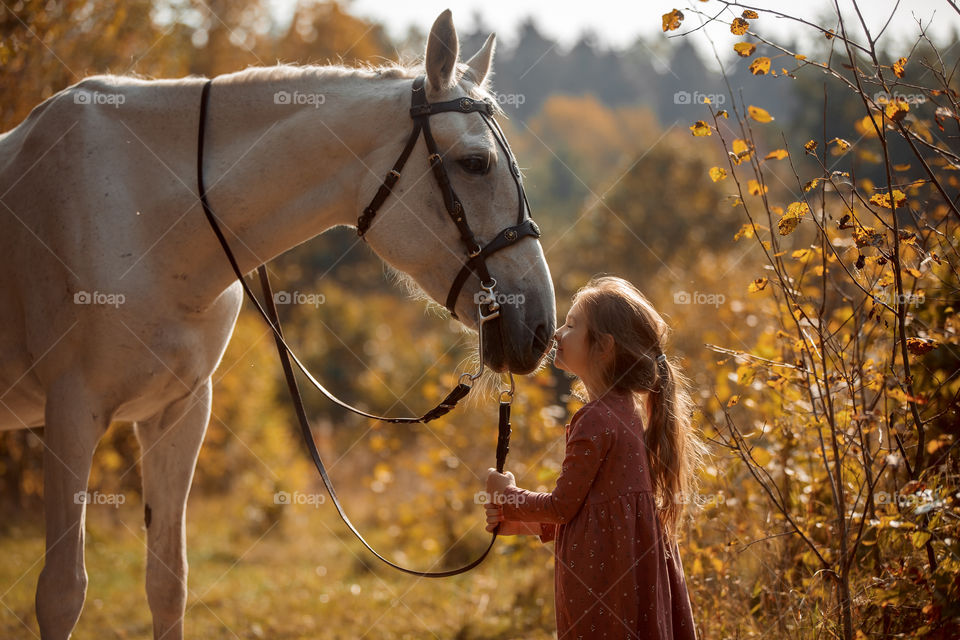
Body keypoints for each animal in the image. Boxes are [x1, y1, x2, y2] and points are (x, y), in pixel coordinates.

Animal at [0, 11, 556, 640]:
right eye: (475, 163)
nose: (540, 326)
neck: (150, 215)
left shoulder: (178, 414)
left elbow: (167, 584)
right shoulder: (71, 413)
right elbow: (62, 593)